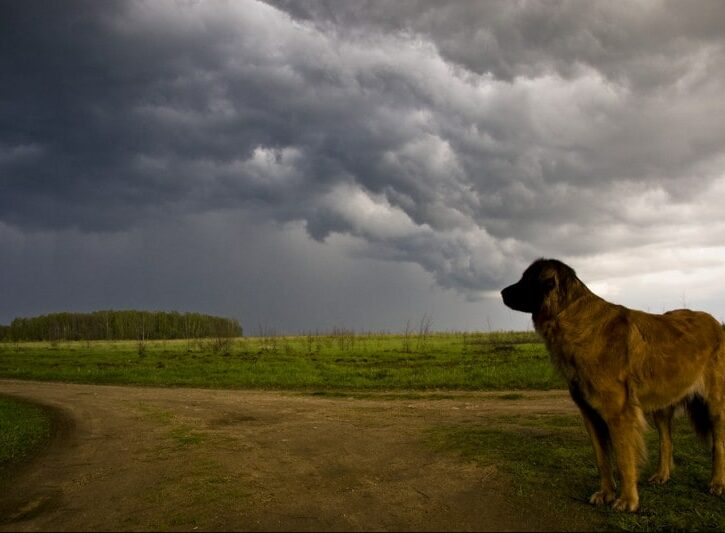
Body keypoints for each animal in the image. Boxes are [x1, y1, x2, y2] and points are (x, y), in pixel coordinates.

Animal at [500, 258, 720, 512]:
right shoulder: (590, 415)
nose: (501, 292)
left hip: (715, 405)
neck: (571, 317)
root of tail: (716, 322)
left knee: (719, 444)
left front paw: (627, 500)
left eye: (527, 279)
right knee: (666, 441)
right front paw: (606, 493)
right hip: (662, 405)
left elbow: (624, 460)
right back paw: (662, 476)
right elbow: (602, 460)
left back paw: (717, 483)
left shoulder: (619, 414)